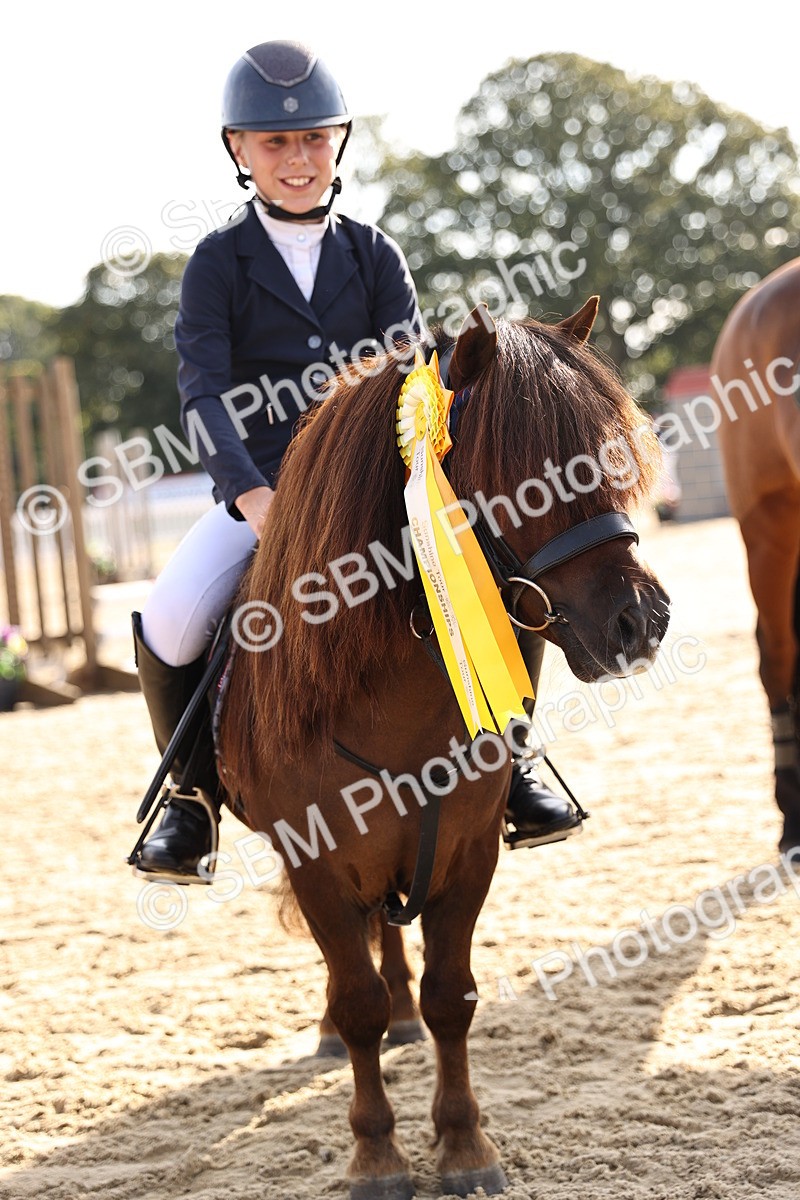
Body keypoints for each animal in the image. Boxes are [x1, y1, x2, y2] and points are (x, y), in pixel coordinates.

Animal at [218, 298, 671, 1199]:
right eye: (523, 468)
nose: (641, 623)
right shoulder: (315, 862)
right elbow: (354, 1000)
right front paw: (376, 1157)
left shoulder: (465, 853)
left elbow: (449, 997)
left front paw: (463, 1146)